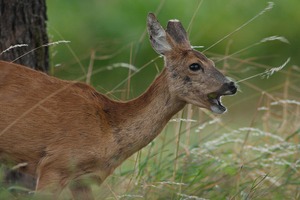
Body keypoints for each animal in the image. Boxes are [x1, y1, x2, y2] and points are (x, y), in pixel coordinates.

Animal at [0, 13, 237, 199]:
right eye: (195, 66)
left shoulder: (84, 180)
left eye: (213, 62)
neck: (108, 127)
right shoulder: (54, 164)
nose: (231, 84)